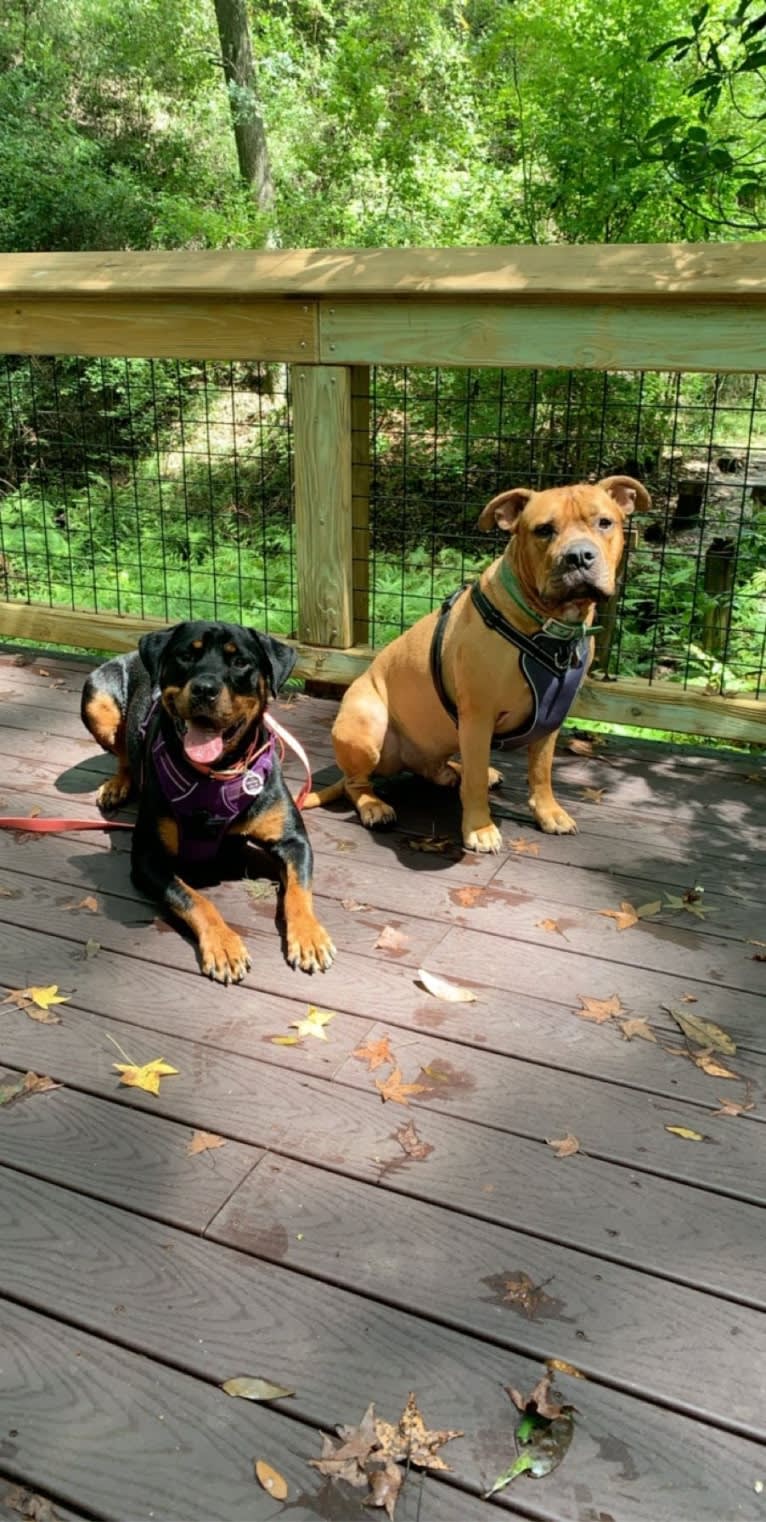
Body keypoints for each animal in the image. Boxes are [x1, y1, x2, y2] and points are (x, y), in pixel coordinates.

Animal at [82, 620, 336, 986]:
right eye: (186, 655)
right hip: (96, 698)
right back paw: (117, 784)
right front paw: (224, 945)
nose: (205, 689)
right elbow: (194, 898)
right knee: (122, 752)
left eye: (241, 662)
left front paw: (309, 936)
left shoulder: (293, 841)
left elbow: (299, 892)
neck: (216, 774)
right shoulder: (147, 858)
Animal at [304, 474, 648, 852]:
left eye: (605, 522)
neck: (550, 627)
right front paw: (479, 828)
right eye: (544, 530)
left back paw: (455, 770)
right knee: (357, 782)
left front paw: (549, 812)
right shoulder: (478, 716)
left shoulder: (551, 717)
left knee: (437, 766)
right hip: (369, 722)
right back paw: (374, 806)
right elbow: (475, 784)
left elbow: (541, 772)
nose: (579, 556)